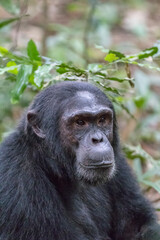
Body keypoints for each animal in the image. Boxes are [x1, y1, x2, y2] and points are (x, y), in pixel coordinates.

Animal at [0, 81, 159, 240]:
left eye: (102, 120)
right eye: (80, 122)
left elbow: (139, 224)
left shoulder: (119, 162)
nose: (98, 139)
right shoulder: (18, 179)